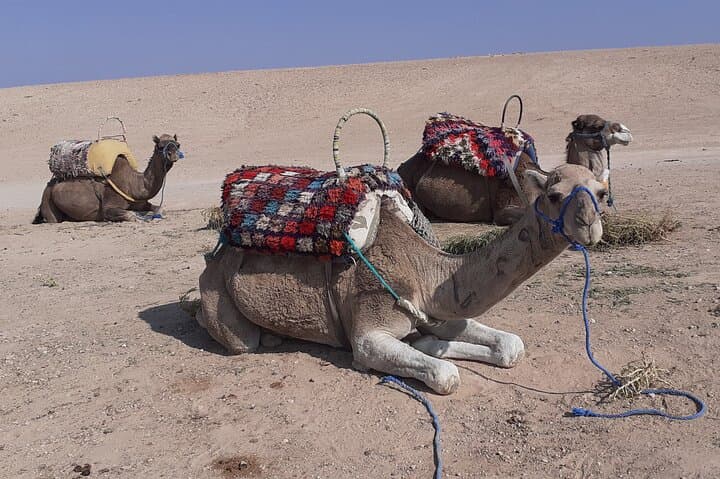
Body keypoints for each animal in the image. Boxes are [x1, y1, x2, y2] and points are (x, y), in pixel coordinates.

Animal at [33, 134, 182, 223]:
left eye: (177, 144)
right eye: (160, 146)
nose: (173, 154)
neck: (134, 184)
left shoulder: (142, 203)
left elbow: (161, 209)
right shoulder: (109, 206)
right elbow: (131, 215)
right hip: (48, 202)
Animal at [195, 163, 606, 394]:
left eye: (602, 193)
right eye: (554, 194)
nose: (589, 226)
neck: (426, 270)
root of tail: (213, 256)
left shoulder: (439, 309)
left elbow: (511, 345)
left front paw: (426, 343)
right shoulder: (368, 332)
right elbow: (445, 375)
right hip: (223, 303)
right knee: (235, 335)